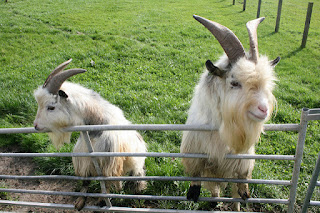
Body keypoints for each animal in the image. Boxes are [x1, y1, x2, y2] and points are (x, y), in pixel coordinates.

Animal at [33, 59, 146, 211]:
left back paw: (138, 192)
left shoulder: (108, 163)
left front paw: (101, 201)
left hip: (136, 164)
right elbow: (86, 181)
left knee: (137, 177)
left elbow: (106, 182)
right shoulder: (85, 159)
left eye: (51, 107)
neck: (96, 128)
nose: (36, 126)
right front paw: (80, 202)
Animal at [180, 15, 280, 211]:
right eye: (234, 82)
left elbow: (242, 180)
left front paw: (245, 193)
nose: (263, 109)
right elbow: (196, 173)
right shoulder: (194, 150)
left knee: (234, 196)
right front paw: (193, 192)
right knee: (215, 188)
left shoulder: (243, 158)